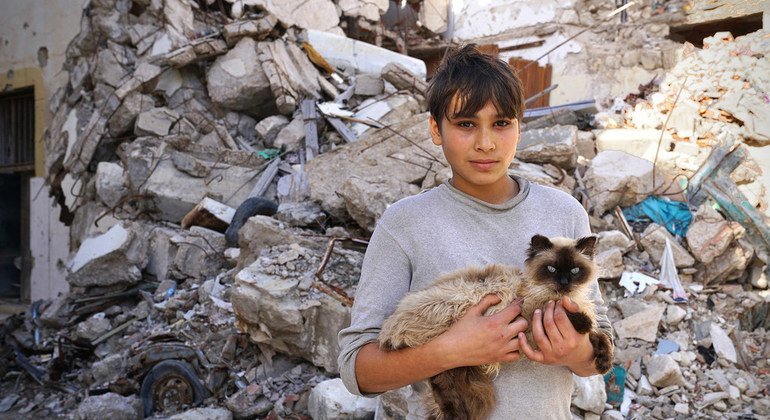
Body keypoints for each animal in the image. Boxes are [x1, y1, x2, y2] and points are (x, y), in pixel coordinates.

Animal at [376, 235, 612, 420]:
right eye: (552, 269)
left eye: (575, 270)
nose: (563, 283)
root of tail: (389, 327)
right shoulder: (534, 315)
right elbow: (579, 320)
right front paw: (584, 323)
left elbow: (599, 336)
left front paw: (604, 363)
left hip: (457, 368)